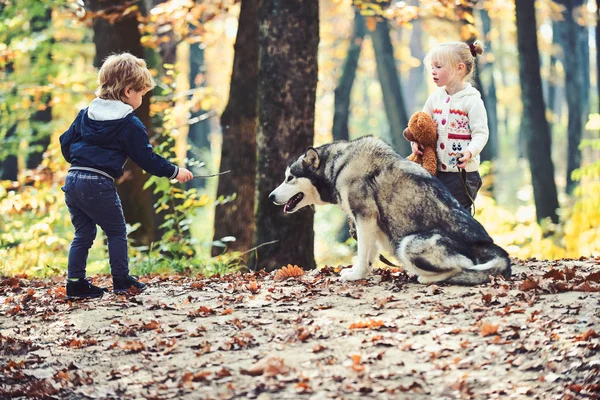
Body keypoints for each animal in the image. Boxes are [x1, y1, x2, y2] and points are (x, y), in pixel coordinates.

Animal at [270, 137, 508, 284]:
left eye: (289, 178)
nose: (270, 197)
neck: (338, 166)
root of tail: (486, 244)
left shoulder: (364, 215)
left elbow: (362, 250)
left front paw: (356, 274)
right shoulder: (369, 222)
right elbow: (368, 252)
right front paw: (363, 272)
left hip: (407, 245)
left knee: (462, 267)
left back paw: (426, 277)